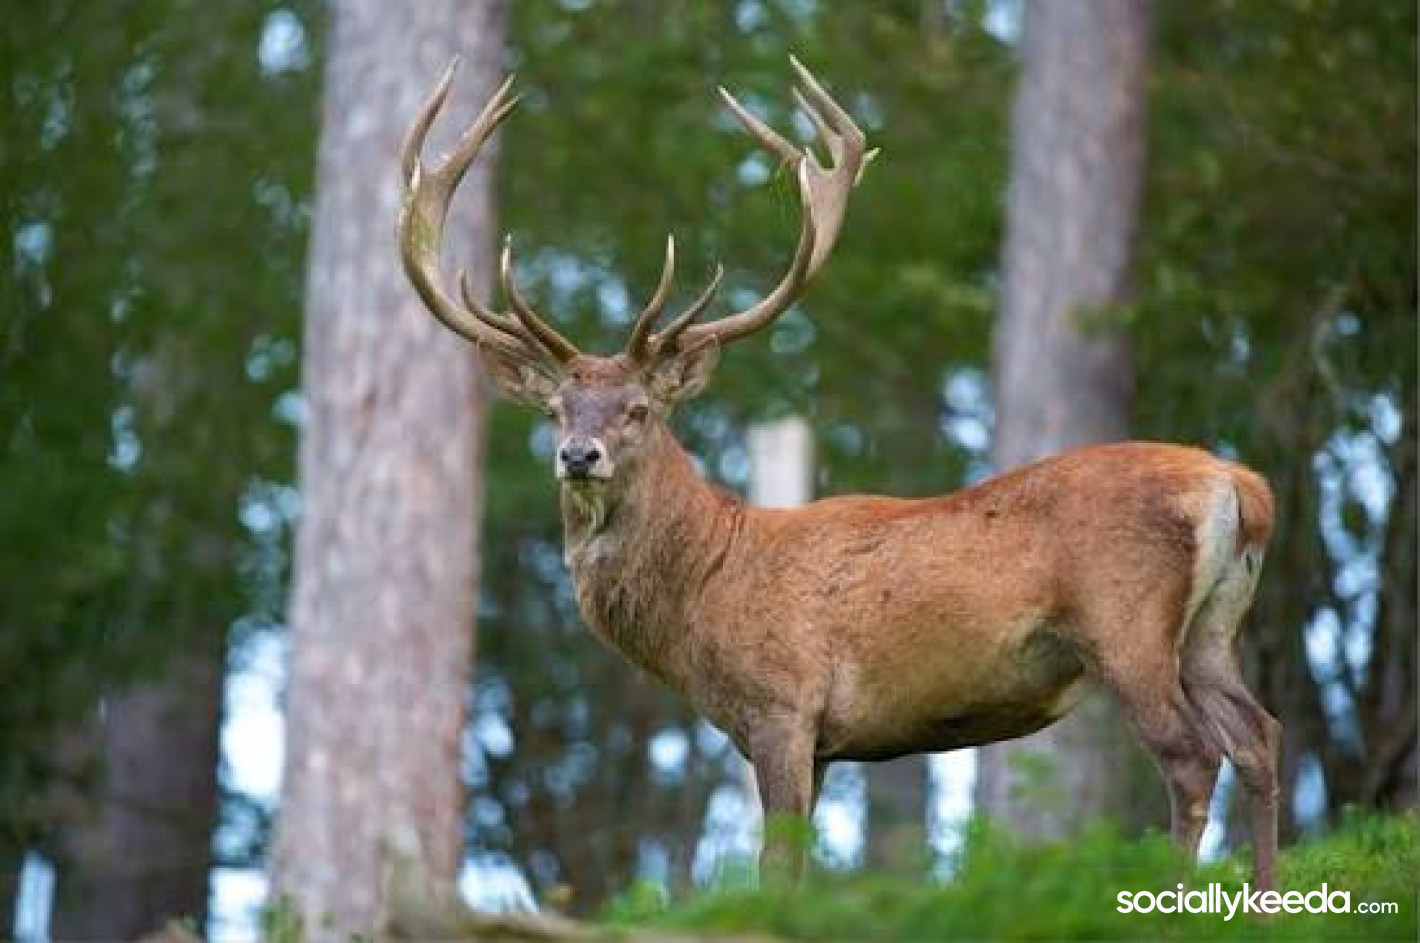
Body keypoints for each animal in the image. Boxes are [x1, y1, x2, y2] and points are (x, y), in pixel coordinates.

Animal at [397, 58, 1282, 891]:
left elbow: (776, 866)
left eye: (640, 408)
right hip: (1211, 629)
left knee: (1191, 755)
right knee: (1260, 736)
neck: (705, 589)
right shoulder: (821, 740)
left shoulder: (784, 706)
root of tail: (1243, 488)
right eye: (557, 409)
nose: (579, 454)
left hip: (1125, 624)